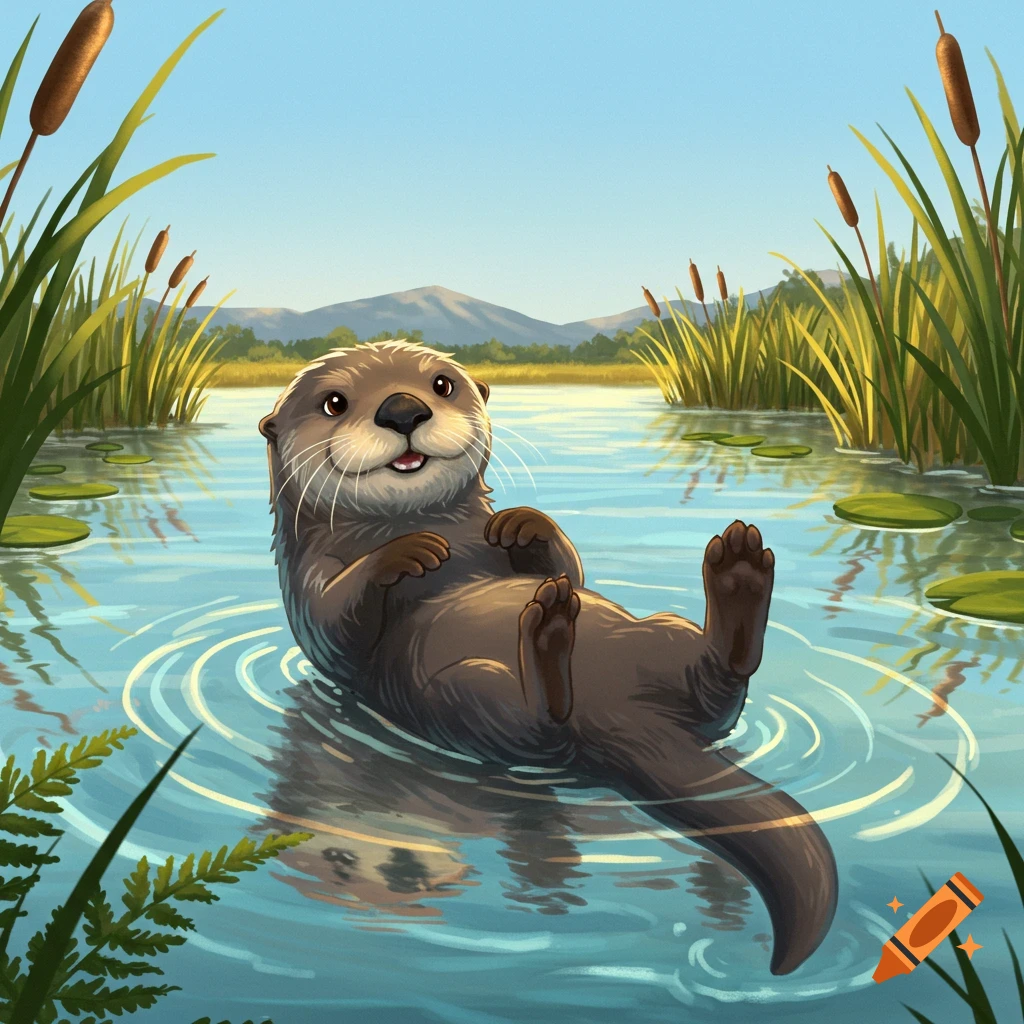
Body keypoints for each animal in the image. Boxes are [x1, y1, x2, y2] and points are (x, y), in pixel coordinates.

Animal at [258, 339, 838, 975]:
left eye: (442, 384)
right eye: (334, 402)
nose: (403, 410)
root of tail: (628, 722)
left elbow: (568, 568)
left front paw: (522, 523)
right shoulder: (309, 581)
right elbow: (333, 621)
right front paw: (404, 553)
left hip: (663, 634)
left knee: (721, 683)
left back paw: (735, 575)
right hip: (464, 698)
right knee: (541, 729)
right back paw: (549, 641)